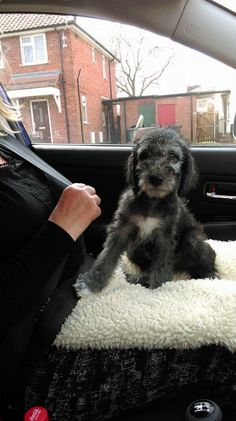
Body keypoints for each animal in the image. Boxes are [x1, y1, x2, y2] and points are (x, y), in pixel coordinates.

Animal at [76, 126, 218, 294]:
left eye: (173, 155)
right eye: (144, 155)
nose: (156, 178)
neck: (152, 202)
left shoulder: (165, 238)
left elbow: (161, 267)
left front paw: (157, 289)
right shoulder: (121, 229)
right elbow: (106, 256)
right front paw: (91, 283)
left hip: (193, 240)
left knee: (206, 263)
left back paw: (210, 277)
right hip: (134, 250)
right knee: (147, 268)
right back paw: (139, 278)